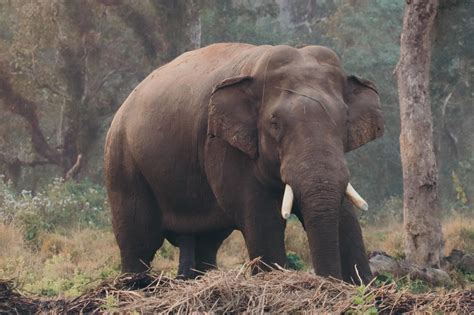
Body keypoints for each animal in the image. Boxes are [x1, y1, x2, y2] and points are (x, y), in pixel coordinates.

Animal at [105, 42, 384, 284]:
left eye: (344, 119)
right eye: (274, 123)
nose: (328, 280)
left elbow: (345, 215)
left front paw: (361, 284)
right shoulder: (224, 146)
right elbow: (262, 219)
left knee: (206, 243)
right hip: (122, 163)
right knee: (139, 241)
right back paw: (135, 285)